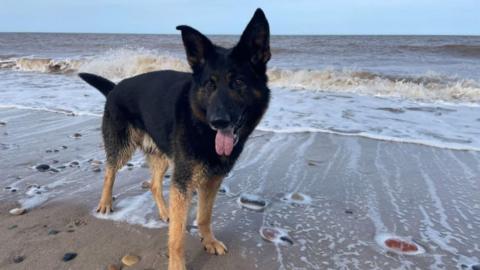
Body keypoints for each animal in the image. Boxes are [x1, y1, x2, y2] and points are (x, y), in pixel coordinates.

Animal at [80, 8, 272, 270]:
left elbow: (204, 216)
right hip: (123, 147)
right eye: (209, 84)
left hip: (163, 157)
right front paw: (178, 264)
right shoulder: (183, 183)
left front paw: (208, 240)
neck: (201, 126)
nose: (218, 122)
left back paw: (164, 212)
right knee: (110, 171)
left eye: (239, 82)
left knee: (154, 184)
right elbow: (178, 236)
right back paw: (106, 202)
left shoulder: (211, 180)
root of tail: (115, 87)